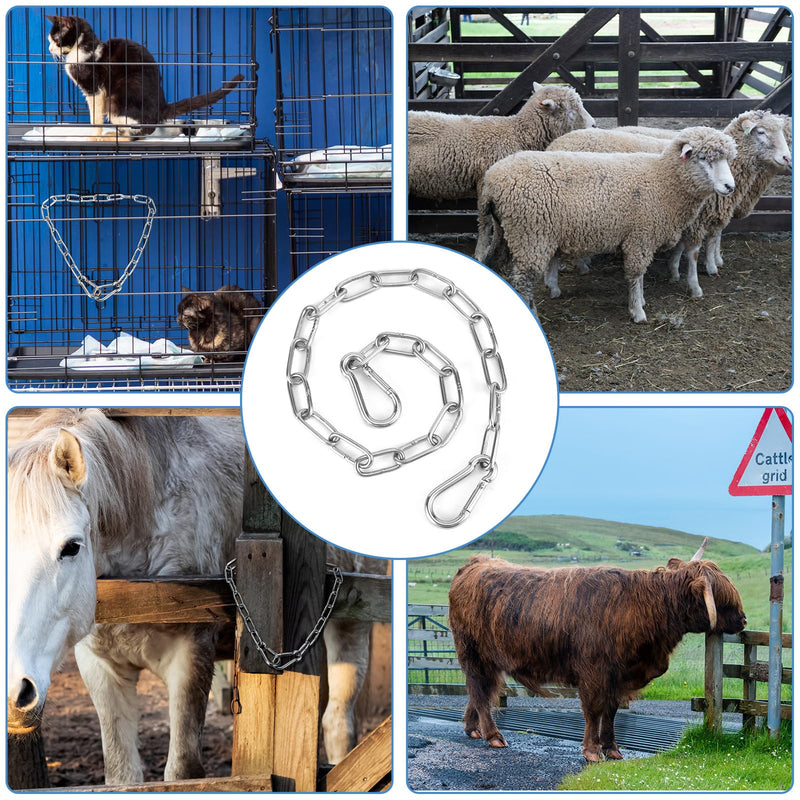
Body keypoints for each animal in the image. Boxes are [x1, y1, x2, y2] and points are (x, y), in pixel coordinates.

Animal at [7, 408, 384, 784]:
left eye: (71, 547)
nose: (15, 691)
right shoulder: (100, 667)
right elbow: (122, 775)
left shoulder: (190, 658)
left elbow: (182, 770)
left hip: (350, 623)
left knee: (338, 721)